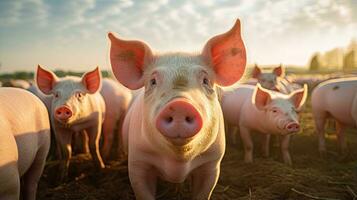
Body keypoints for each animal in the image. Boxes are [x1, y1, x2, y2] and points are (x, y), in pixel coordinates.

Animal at [108, 19, 246, 200]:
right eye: (152, 81)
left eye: (206, 80)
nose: (180, 105)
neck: (178, 164)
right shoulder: (138, 162)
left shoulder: (212, 163)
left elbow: (203, 192)